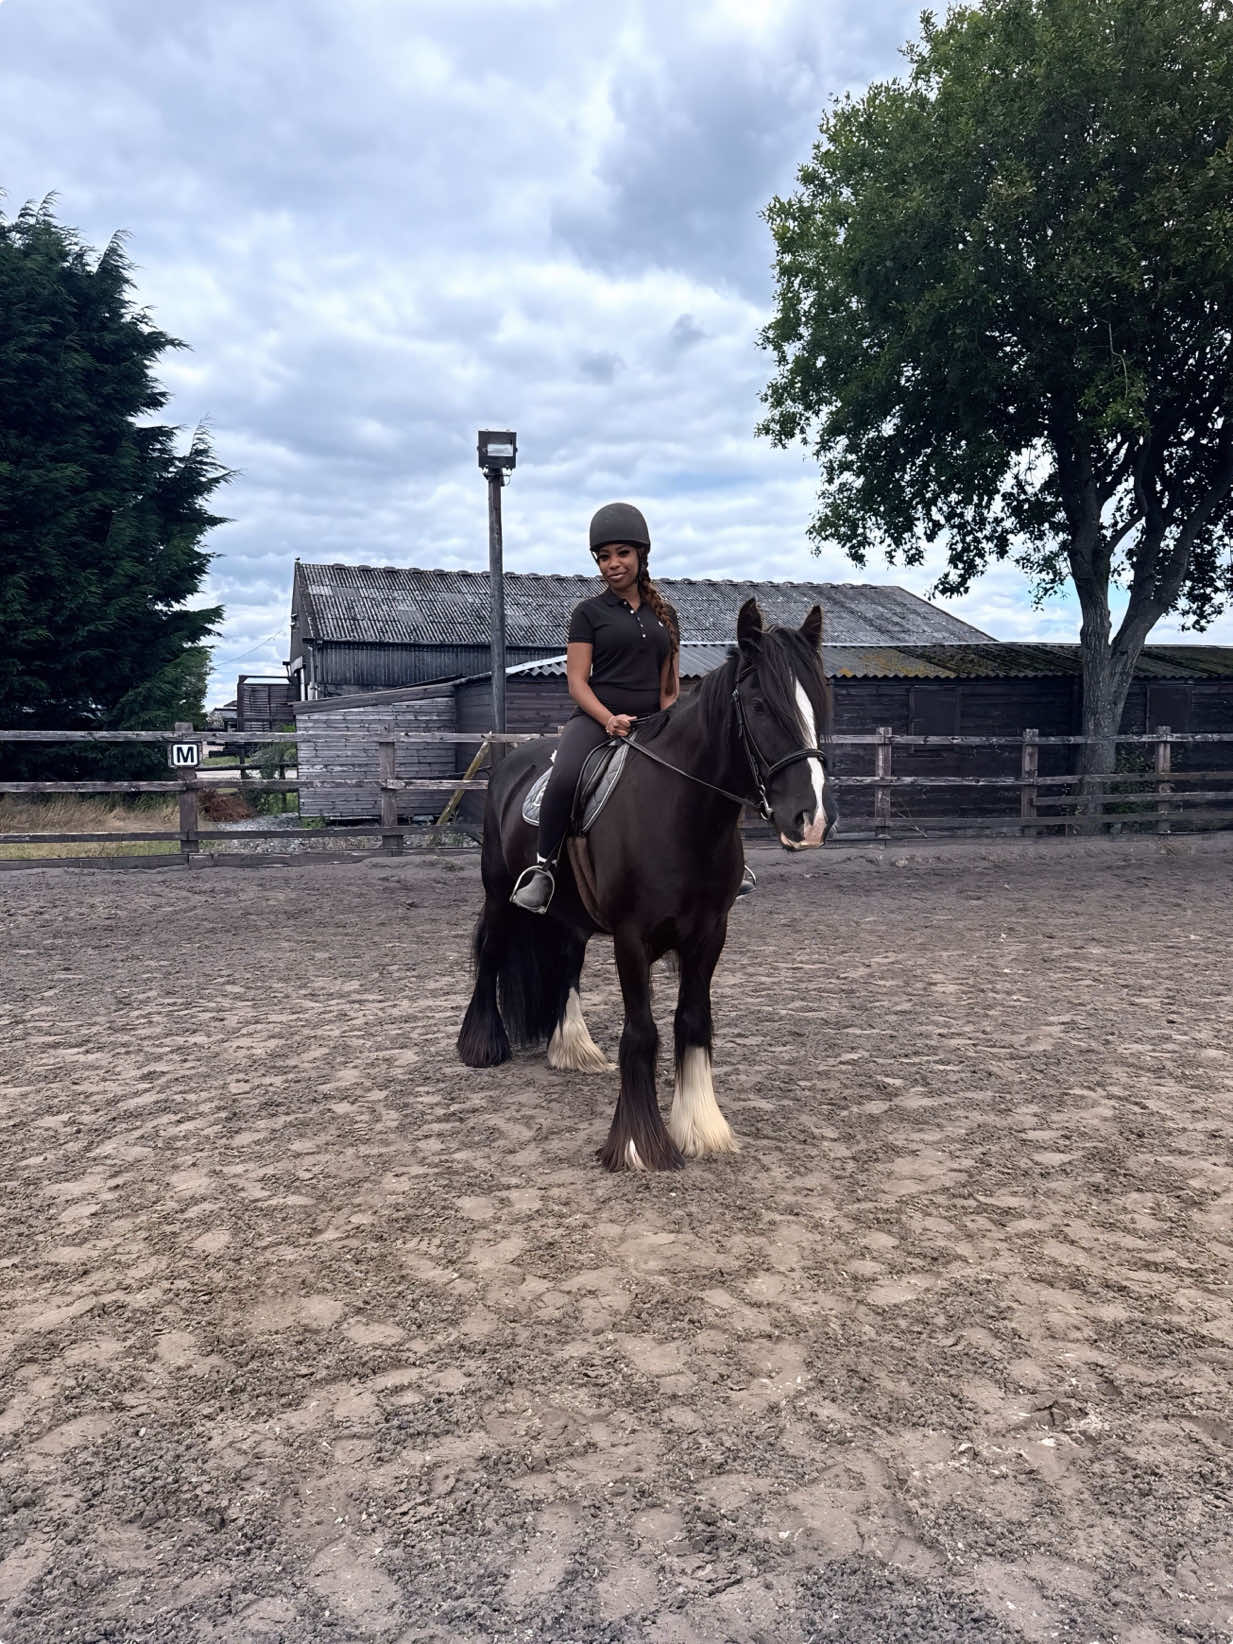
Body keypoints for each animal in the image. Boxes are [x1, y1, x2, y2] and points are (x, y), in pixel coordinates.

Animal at [456, 598, 837, 1172]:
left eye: (818, 703)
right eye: (760, 706)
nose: (809, 821)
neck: (681, 813)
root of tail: (511, 765)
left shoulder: (710, 933)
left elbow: (693, 1021)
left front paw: (700, 1126)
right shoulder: (632, 938)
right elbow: (642, 1031)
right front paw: (639, 1143)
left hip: (571, 917)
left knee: (566, 964)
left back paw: (572, 1047)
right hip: (500, 895)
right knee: (492, 952)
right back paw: (481, 1046)